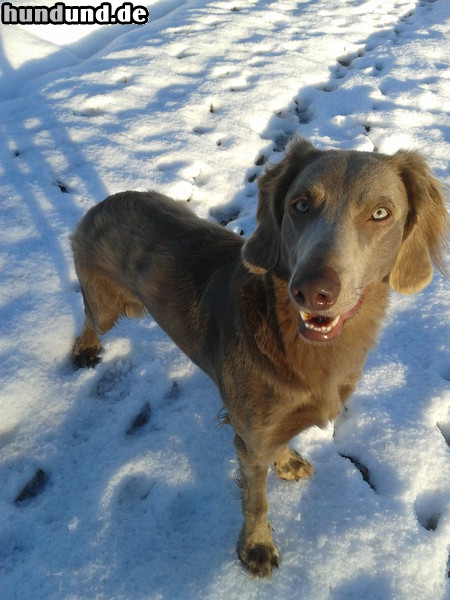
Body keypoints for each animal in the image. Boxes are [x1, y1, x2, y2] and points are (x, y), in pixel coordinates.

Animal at [70, 137, 446, 576]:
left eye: (381, 213)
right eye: (300, 205)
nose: (312, 290)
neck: (296, 342)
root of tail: (104, 202)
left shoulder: (265, 426)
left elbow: (277, 442)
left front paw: (285, 462)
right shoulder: (248, 438)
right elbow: (256, 500)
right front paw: (256, 547)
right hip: (106, 306)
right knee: (88, 316)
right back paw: (84, 349)